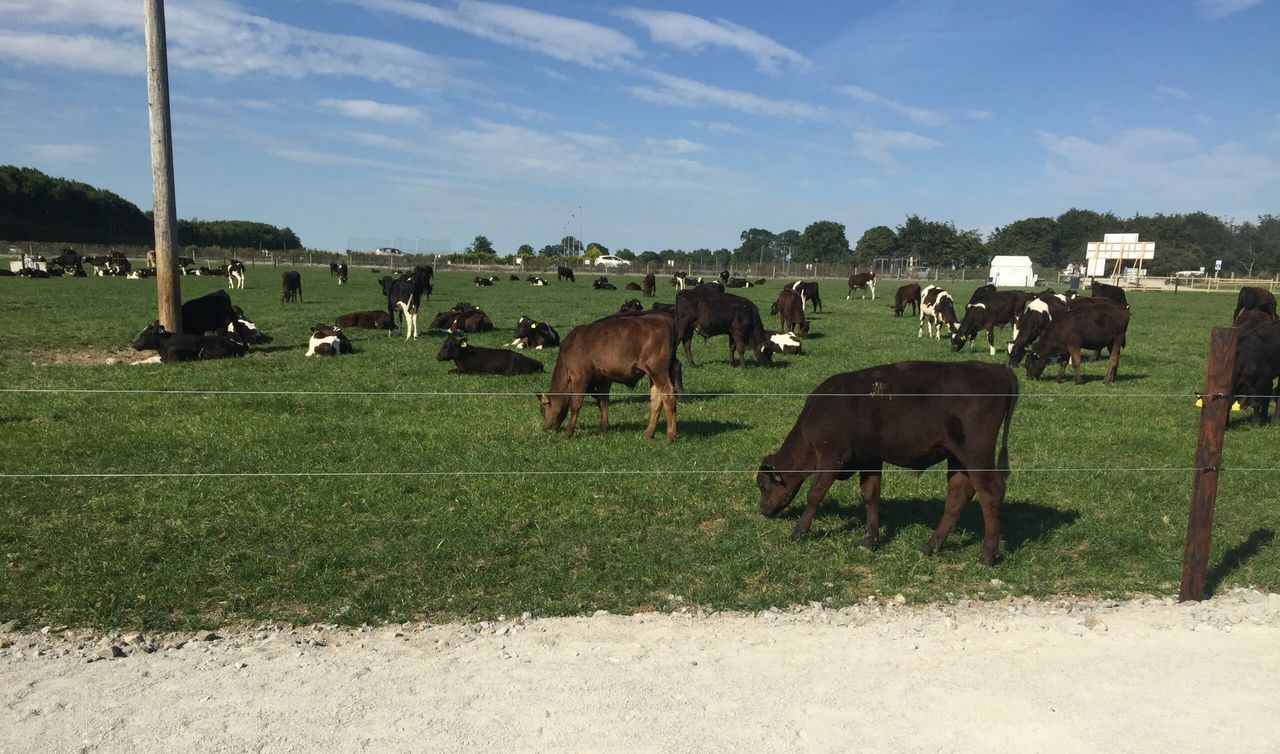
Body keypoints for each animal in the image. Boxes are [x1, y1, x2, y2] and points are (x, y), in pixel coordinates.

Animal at [536, 313, 680, 442]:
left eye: (542, 410)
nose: (545, 427)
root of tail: (665, 320)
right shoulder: (603, 379)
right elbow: (603, 401)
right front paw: (603, 428)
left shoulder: (580, 377)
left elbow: (575, 405)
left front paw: (568, 432)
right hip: (654, 374)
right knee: (656, 399)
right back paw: (649, 433)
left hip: (658, 370)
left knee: (668, 396)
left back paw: (670, 436)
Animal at [756, 360, 1017, 565]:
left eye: (763, 485)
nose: (763, 509)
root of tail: (998, 369)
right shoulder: (870, 458)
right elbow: (870, 496)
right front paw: (869, 540)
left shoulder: (832, 456)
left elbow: (815, 494)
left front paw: (798, 532)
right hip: (958, 458)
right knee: (958, 496)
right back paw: (930, 546)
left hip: (976, 455)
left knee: (991, 493)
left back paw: (987, 556)